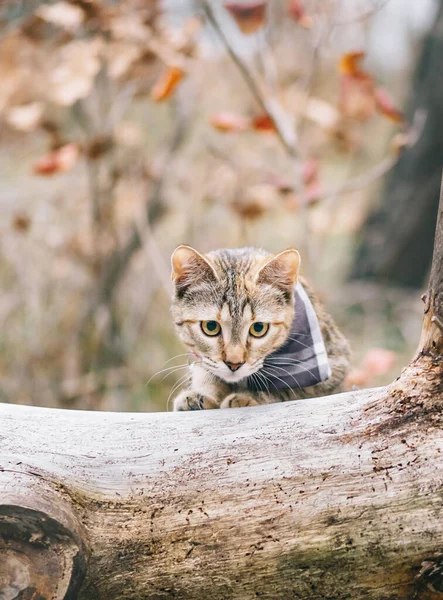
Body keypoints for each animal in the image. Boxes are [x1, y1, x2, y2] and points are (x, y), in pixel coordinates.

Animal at [170, 246, 350, 410]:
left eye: (258, 328)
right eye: (211, 326)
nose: (234, 364)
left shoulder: (335, 369)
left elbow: (289, 389)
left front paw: (248, 397)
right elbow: (206, 372)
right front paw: (200, 395)